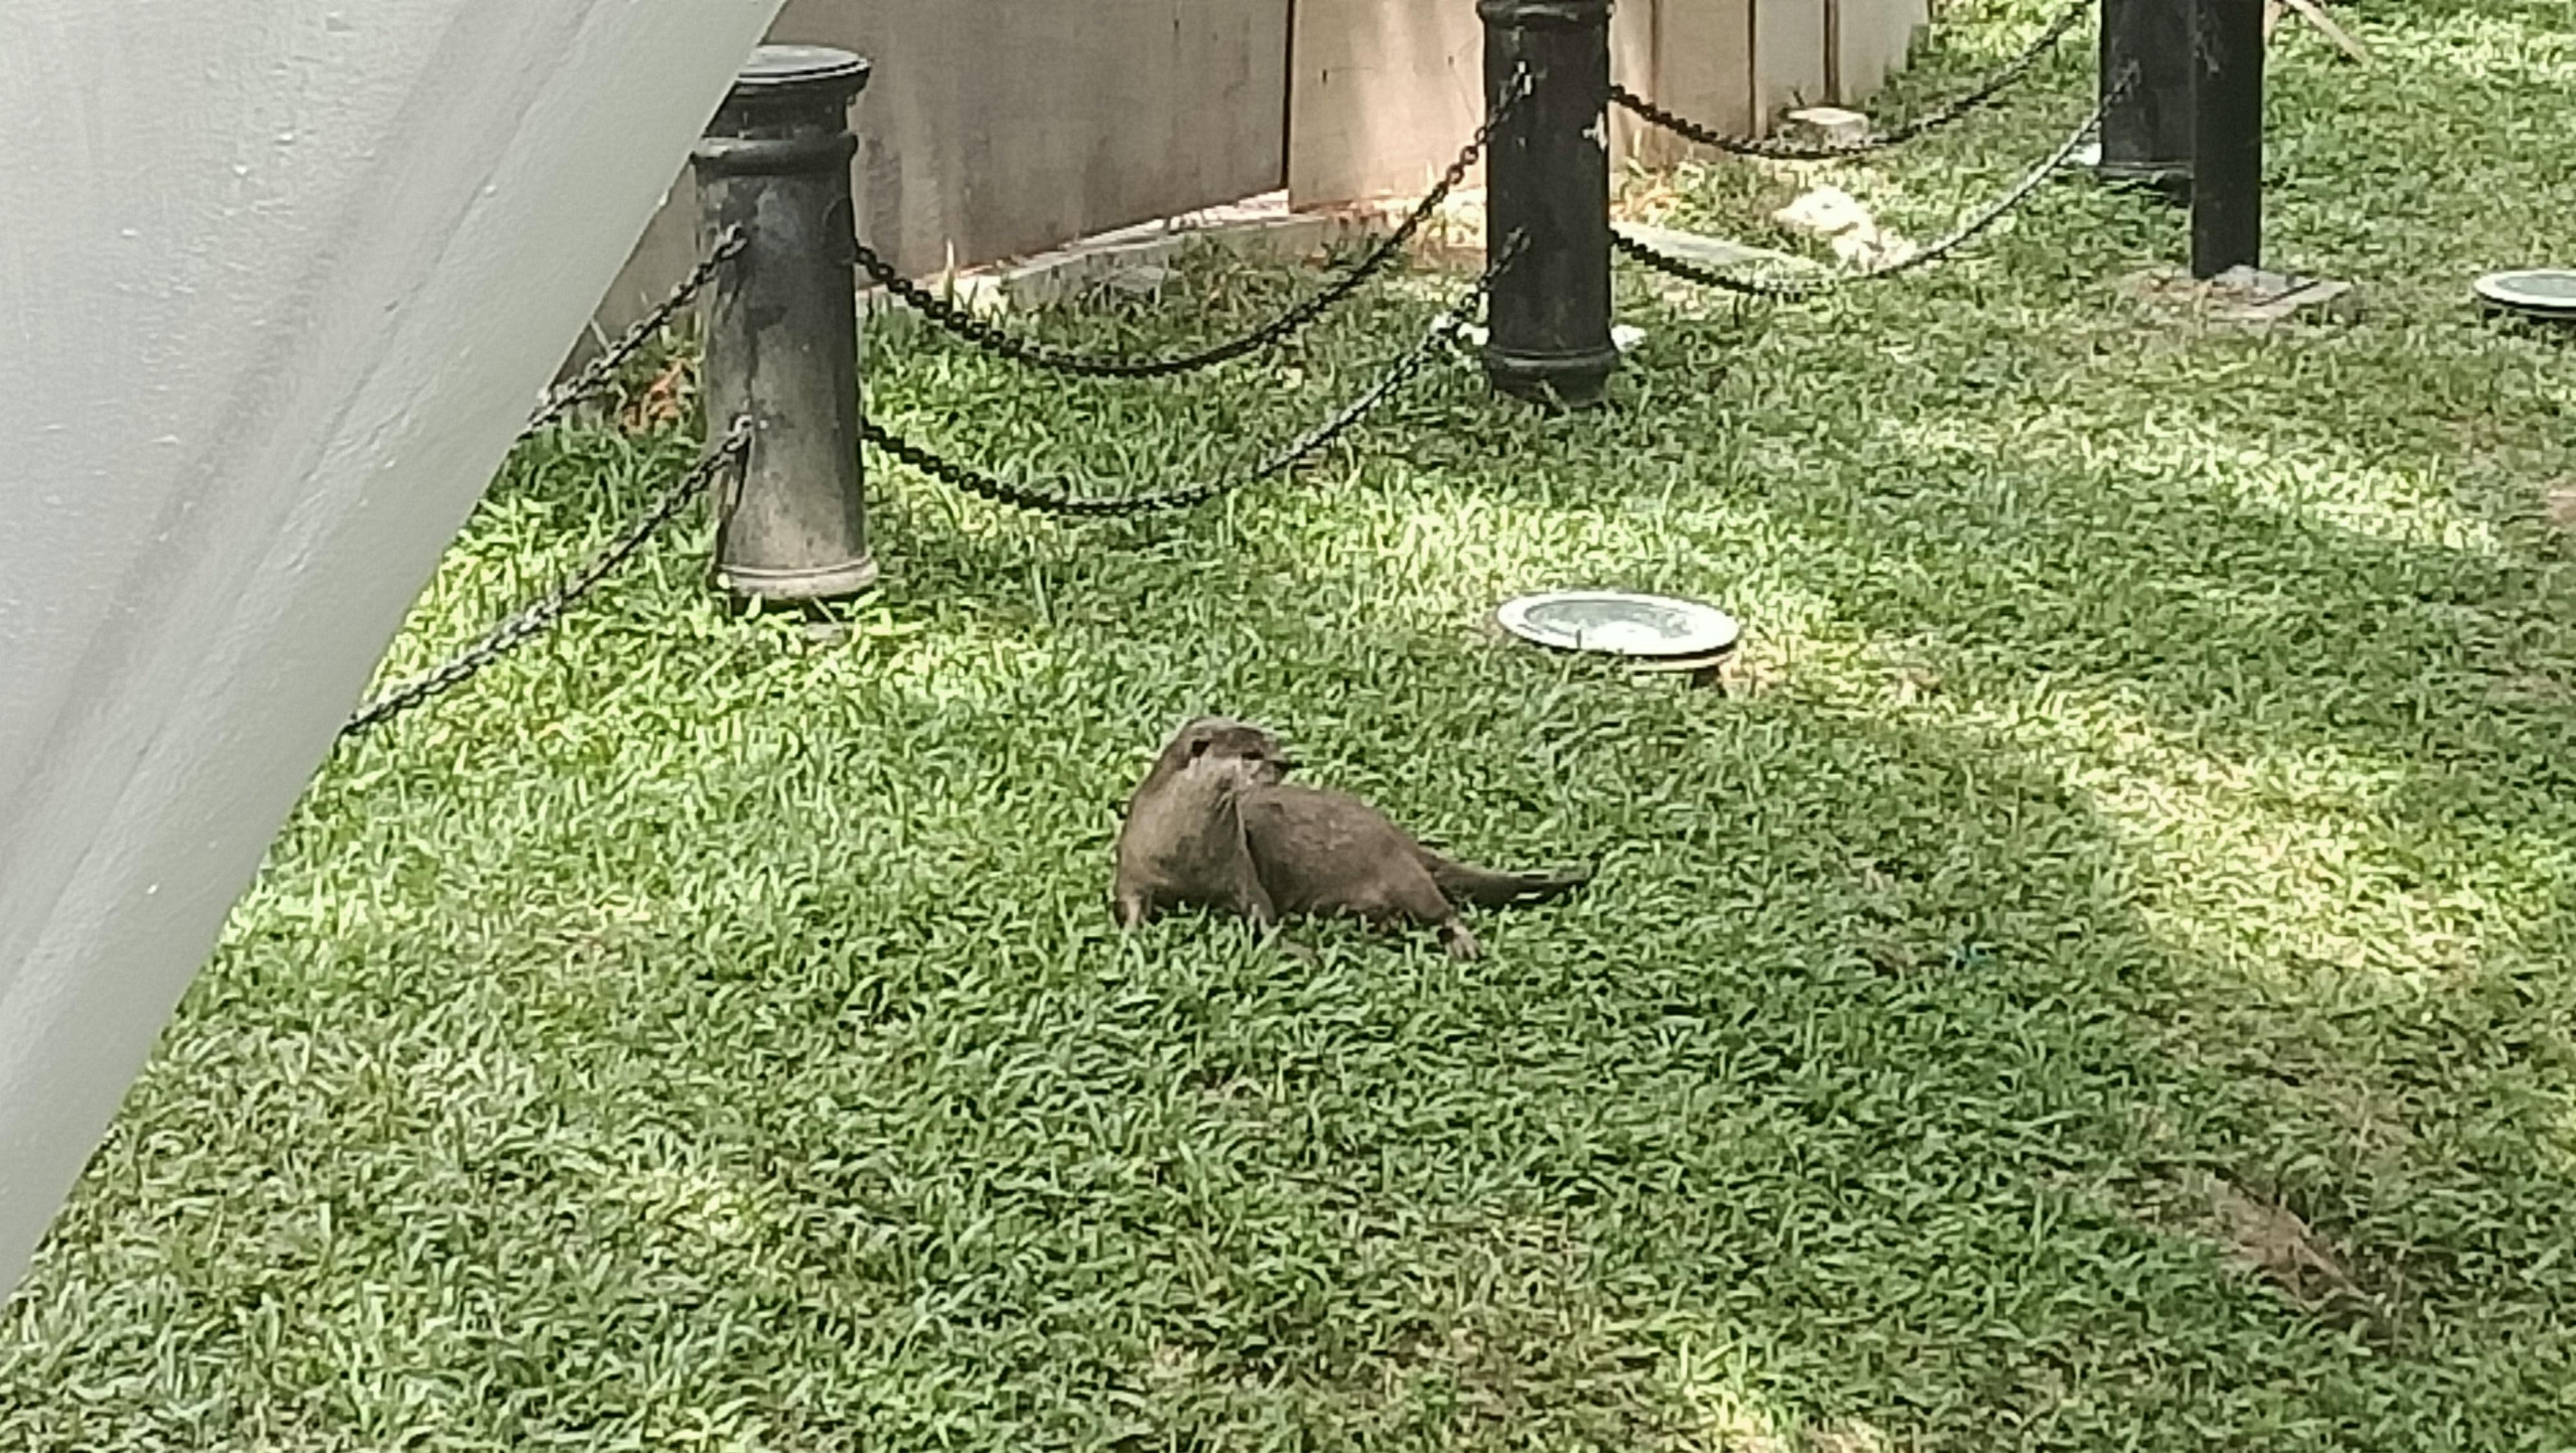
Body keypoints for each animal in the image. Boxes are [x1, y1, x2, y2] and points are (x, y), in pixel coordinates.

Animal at [1111, 716, 1592, 959]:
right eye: (1251, 753)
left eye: (1275, 744)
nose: (1286, 763)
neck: (1186, 851)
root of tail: (1397, 834)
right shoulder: (1132, 869)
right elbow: (1130, 904)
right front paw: (1133, 940)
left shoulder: (1240, 869)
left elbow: (1263, 915)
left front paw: (1293, 949)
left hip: (1403, 874)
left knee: (1443, 908)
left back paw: (1463, 944)